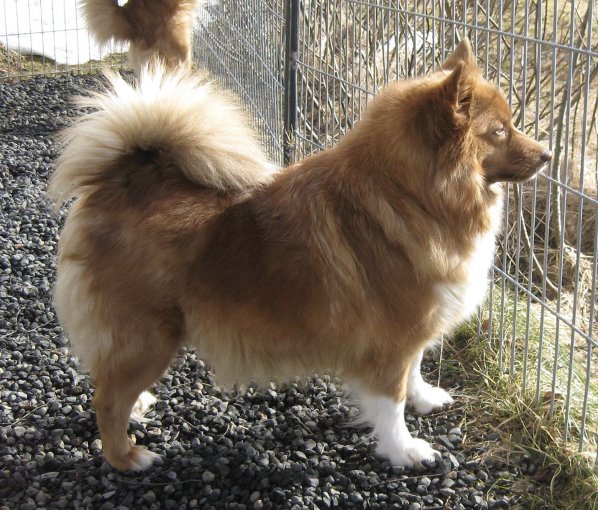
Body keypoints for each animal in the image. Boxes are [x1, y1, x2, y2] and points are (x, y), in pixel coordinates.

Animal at [50, 38, 552, 470]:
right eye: (499, 131)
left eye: (510, 124)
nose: (548, 154)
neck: (409, 197)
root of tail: (124, 176)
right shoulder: (389, 342)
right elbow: (390, 403)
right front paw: (403, 450)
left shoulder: (411, 334)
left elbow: (414, 371)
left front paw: (425, 398)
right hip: (149, 335)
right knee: (105, 399)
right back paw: (127, 457)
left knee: (110, 381)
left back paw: (139, 405)